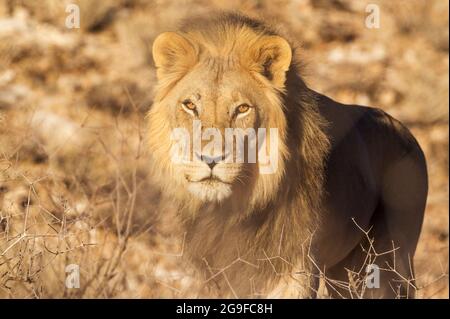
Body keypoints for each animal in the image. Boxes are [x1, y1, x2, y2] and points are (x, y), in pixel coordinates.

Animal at [146, 11, 428, 298]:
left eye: (242, 108)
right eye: (190, 106)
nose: (210, 159)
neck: (236, 207)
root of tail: (409, 133)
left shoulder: (295, 266)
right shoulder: (221, 271)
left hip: (389, 261)